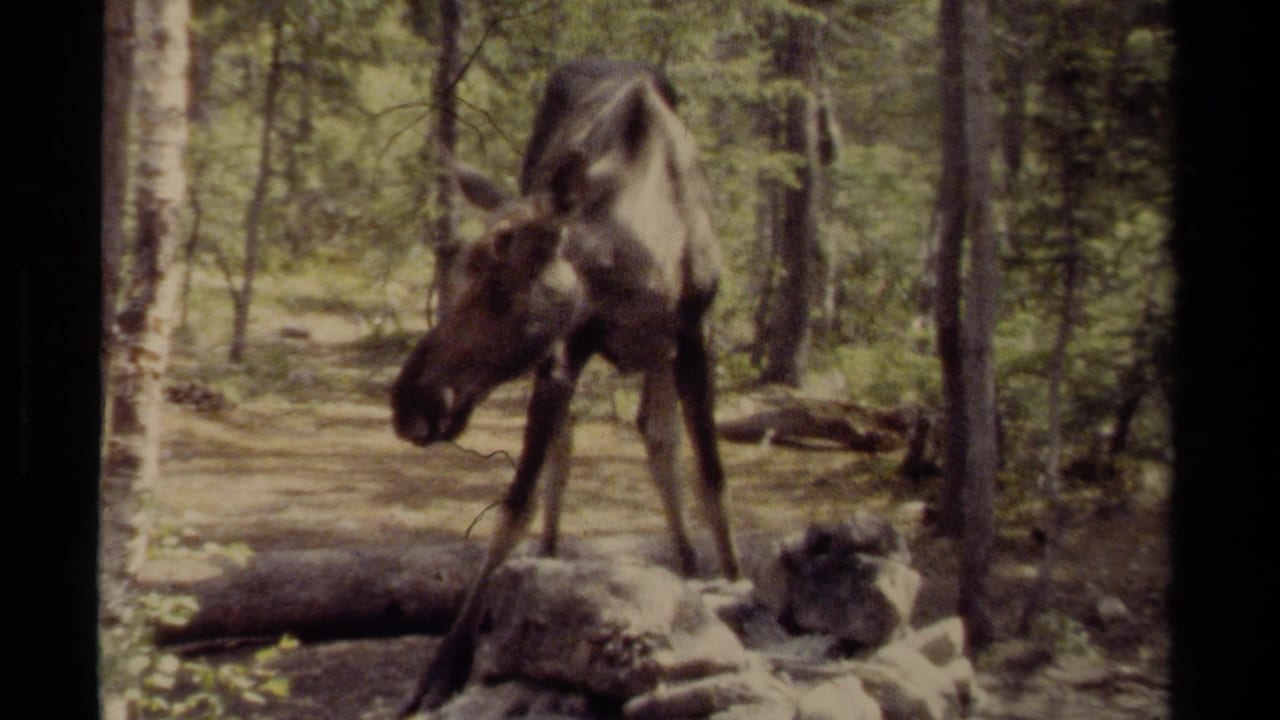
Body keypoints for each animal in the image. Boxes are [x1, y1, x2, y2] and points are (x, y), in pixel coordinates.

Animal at [389, 58, 741, 715]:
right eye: (461, 269)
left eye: (502, 290)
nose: (409, 402)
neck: (644, 263)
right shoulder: (565, 350)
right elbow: (516, 505)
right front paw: (443, 669)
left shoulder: (693, 334)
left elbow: (709, 474)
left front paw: (731, 581)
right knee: (567, 450)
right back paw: (550, 561)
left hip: (658, 353)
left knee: (658, 438)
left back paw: (686, 561)